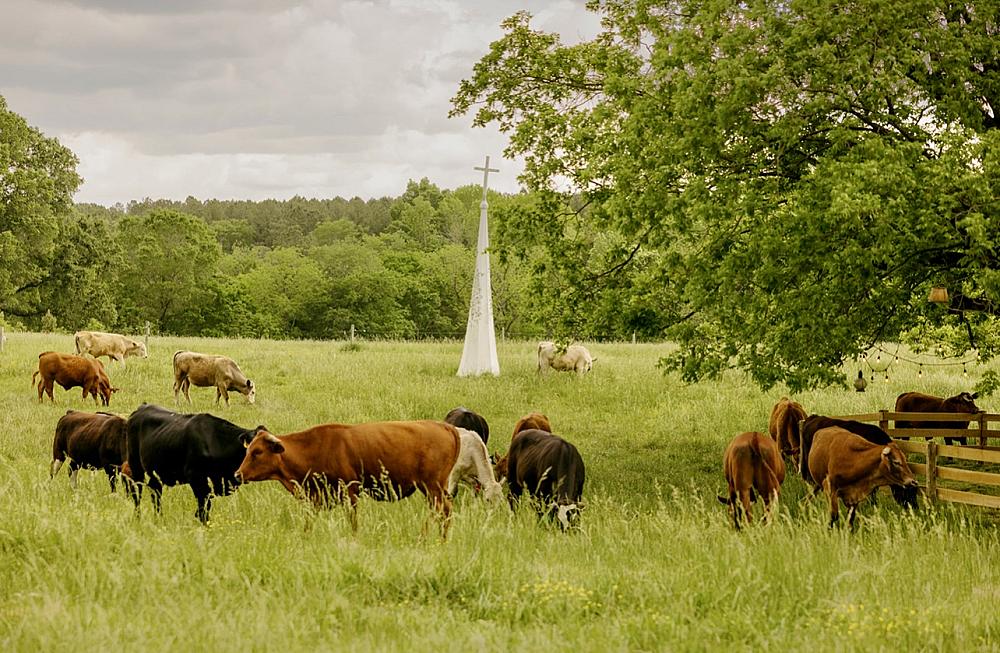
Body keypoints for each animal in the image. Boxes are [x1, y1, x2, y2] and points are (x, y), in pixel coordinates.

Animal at [124, 403, 265, 523]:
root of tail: (142, 407)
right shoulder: (196, 478)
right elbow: (203, 508)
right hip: (135, 466)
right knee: (137, 492)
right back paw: (138, 517)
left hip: (154, 473)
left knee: (155, 492)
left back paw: (159, 517)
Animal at [236, 420, 460, 536]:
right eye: (249, 449)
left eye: (257, 452)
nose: (237, 474)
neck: (315, 447)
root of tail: (444, 426)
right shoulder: (318, 498)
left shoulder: (350, 493)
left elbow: (352, 521)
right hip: (433, 489)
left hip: (432, 487)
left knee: (441, 511)